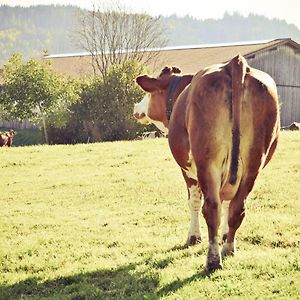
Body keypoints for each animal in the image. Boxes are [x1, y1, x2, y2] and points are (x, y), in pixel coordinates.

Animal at [134, 55, 278, 270]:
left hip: (207, 164)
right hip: (252, 165)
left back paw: (213, 260)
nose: (136, 107)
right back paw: (228, 249)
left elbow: (193, 201)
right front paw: (225, 235)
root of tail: (234, 63)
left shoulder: (188, 170)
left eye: (148, 94)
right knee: (237, 208)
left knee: (210, 208)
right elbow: (227, 204)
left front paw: (193, 237)